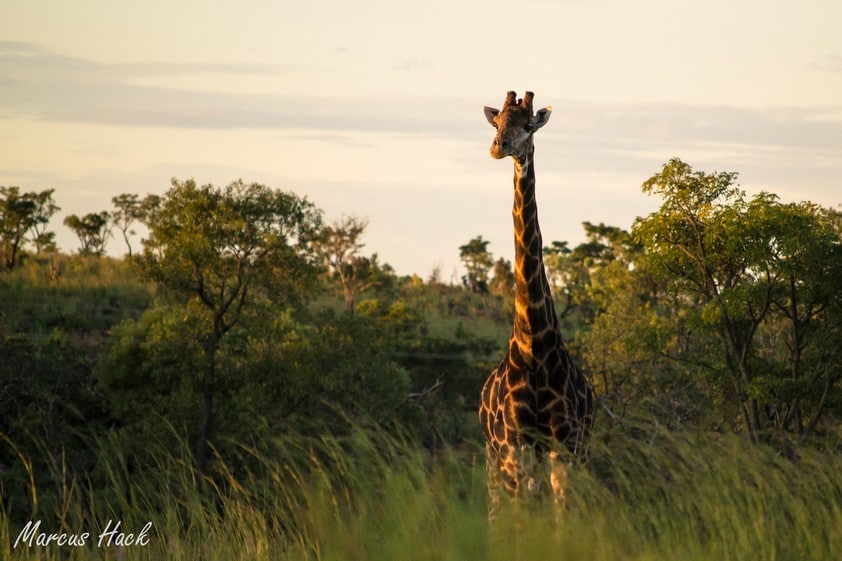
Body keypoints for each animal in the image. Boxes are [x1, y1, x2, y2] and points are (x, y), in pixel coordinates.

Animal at [480, 91, 592, 516]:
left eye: (528, 126)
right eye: (497, 123)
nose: (499, 147)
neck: (535, 345)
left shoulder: (566, 443)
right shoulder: (517, 444)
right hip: (493, 457)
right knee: (498, 512)